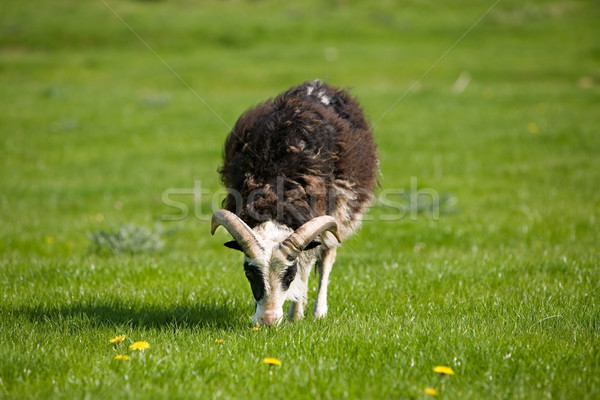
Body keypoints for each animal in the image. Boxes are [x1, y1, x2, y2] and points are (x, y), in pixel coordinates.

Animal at [213, 79, 378, 326]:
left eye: (290, 275)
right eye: (249, 273)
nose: (268, 322)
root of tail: (317, 84)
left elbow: (308, 265)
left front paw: (296, 314)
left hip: (340, 212)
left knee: (327, 257)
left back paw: (318, 312)